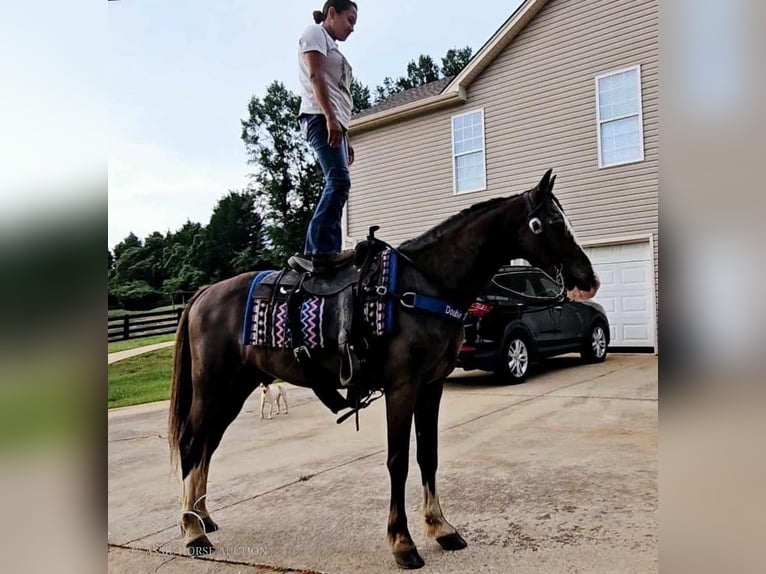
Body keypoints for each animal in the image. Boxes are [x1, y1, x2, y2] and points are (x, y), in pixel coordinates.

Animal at [166, 168, 600, 572]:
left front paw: (441, 528)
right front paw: (402, 542)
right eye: (552, 223)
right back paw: (192, 533)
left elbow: (428, 454)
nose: (589, 278)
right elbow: (398, 460)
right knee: (192, 443)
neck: (426, 284)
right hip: (213, 388)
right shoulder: (402, 387)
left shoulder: (431, 386)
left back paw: (202, 517)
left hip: (235, 389)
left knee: (207, 446)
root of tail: (203, 294)